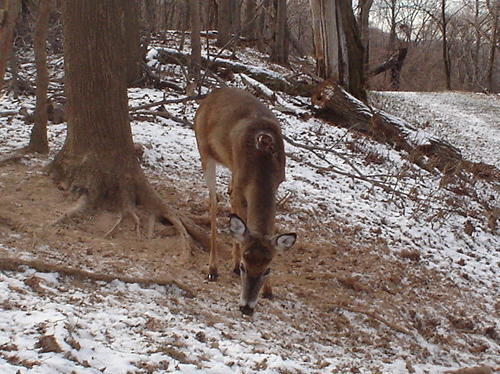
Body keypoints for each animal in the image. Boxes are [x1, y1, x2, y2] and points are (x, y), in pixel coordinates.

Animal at [194, 87, 296, 316]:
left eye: (268, 269)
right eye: (244, 266)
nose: (246, 308)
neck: (262, 167)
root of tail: (211, 94)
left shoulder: (278, 181)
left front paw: (269, 290)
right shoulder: (242, 185)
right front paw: (230, 263)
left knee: (227, 194)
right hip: (204, 150)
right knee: (213, 201)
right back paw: (213, 269)